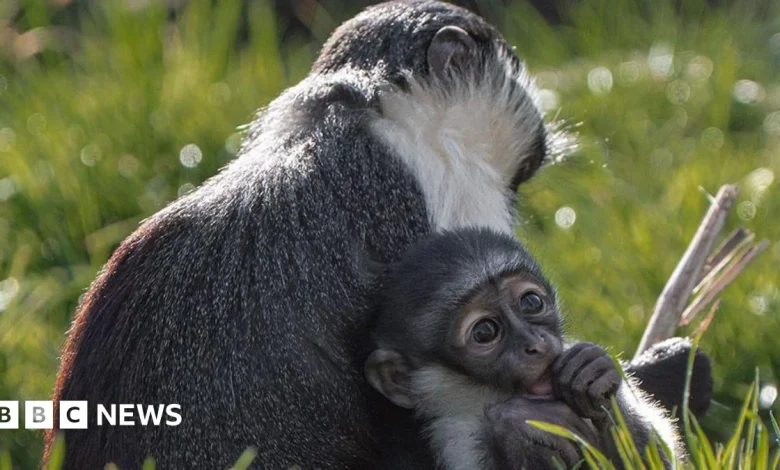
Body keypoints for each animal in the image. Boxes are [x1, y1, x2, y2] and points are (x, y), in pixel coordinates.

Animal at [366, 228, 681, 469]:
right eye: (484, 332)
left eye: (531, 302)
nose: (536, 344)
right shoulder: (456, 437)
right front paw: (516, 423)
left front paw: (592, 372)